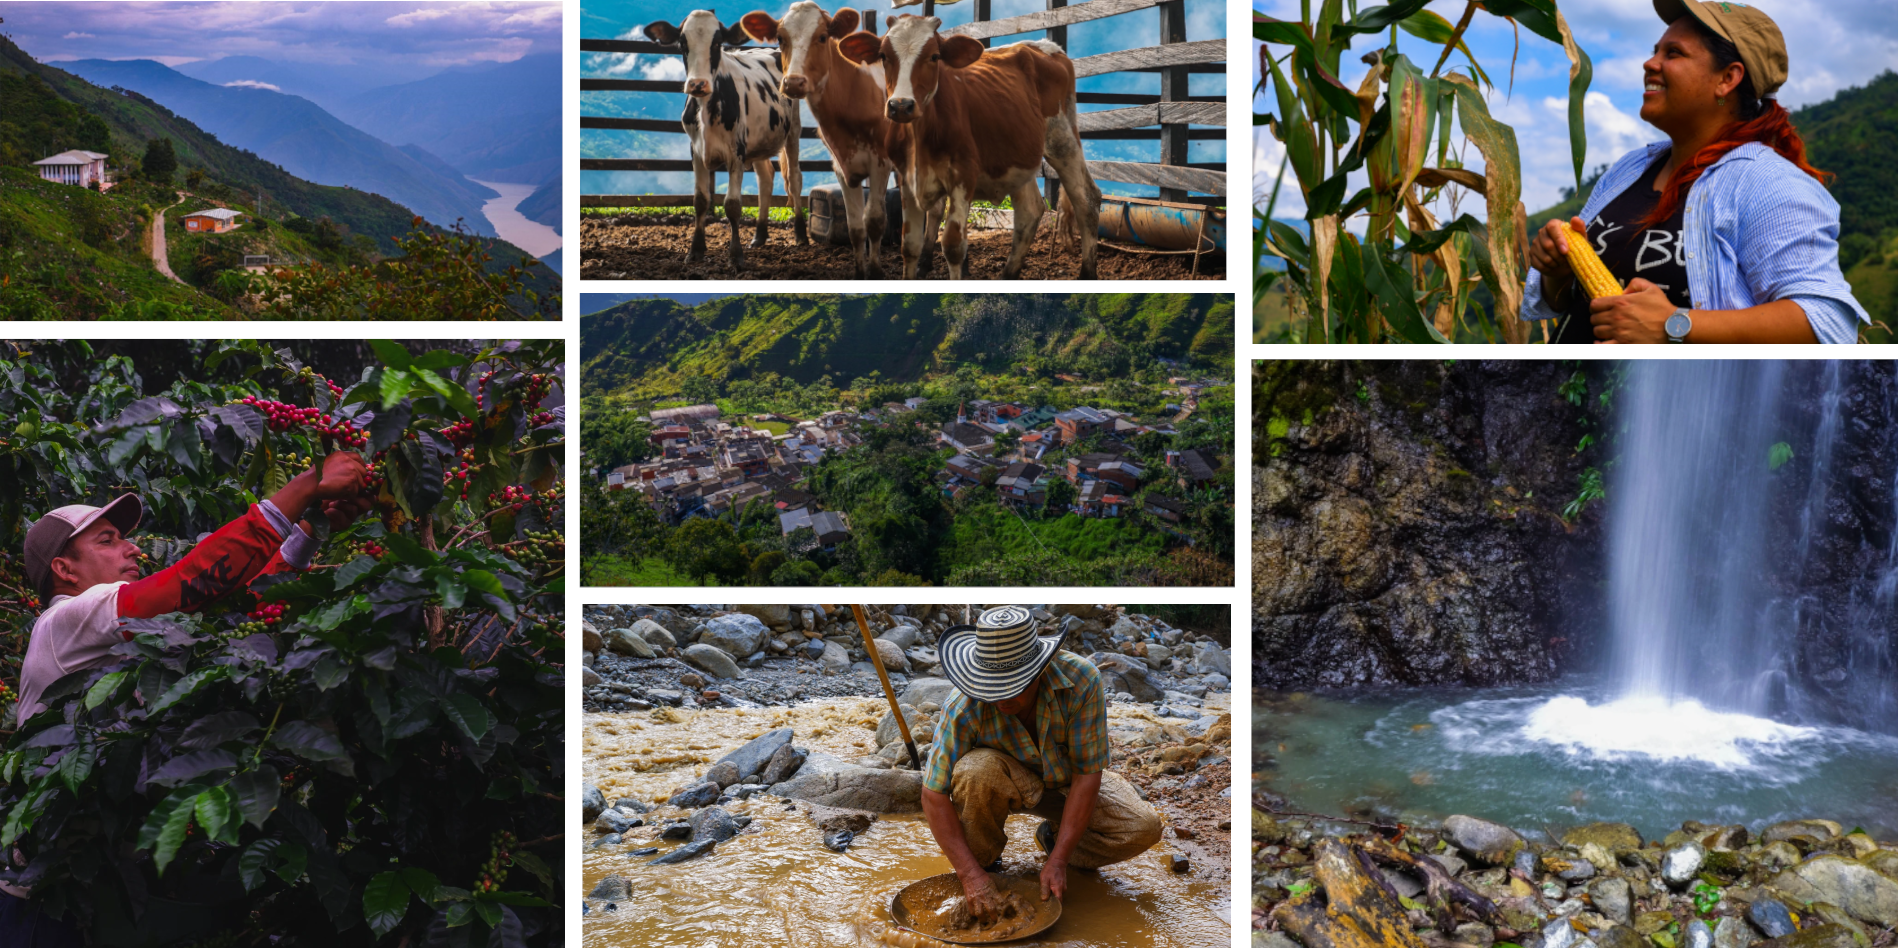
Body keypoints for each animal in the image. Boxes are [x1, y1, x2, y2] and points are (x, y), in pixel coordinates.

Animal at [649, 11, 804, 269]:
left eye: (717, 43)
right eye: (682, 43)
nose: (697, 84)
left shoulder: (736, 153)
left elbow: (732, 205)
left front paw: (736, 256)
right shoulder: (696, 151)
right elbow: (700, 200)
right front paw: (695, 250)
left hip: (792, 130)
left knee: (794, 179)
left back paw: (801, 235)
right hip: (758, 141)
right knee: (766, 178)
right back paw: (759, 236)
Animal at [842, 16, 1108, 279]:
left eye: (934, 56)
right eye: (884, 56)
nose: (900, 105)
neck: (920, 139)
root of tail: (1046, 46)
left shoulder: (963, 176)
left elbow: (952, 246)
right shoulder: (906, 180)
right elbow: (909, 246)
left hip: (1061, 137)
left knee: (1086, 199)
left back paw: (1087, 272)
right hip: (1018, 156)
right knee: (1030, 210)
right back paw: (1008, 275)